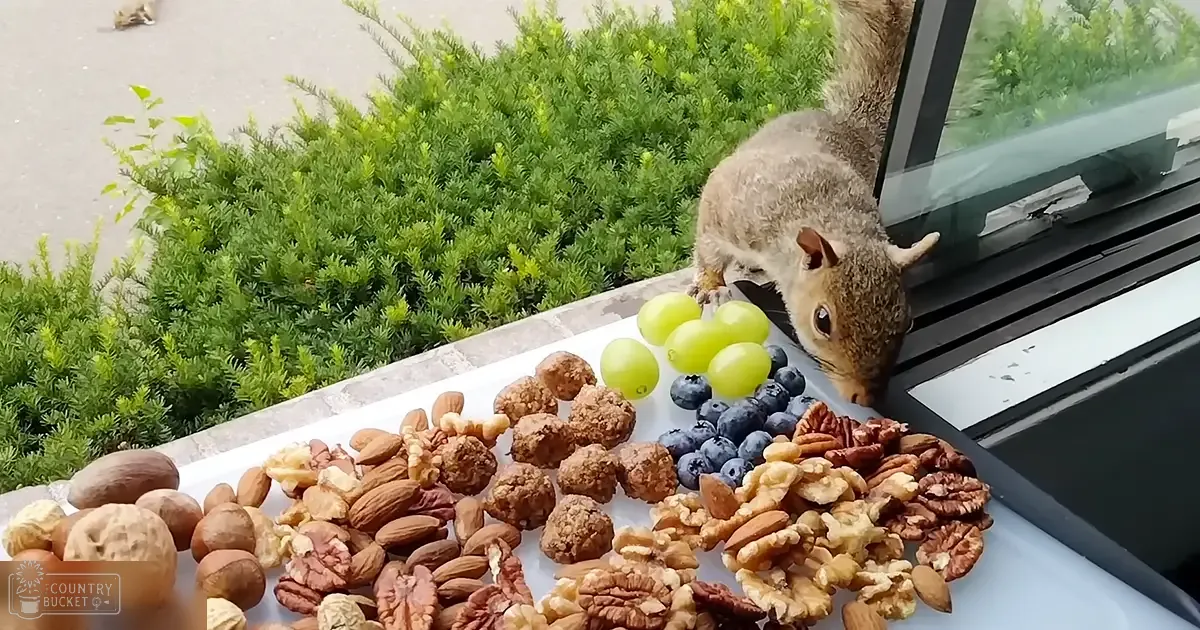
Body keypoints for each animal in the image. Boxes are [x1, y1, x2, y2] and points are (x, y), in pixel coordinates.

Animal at [686, 0, 938, 406]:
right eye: (822, 320)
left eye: (908, 320)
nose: (865, 400)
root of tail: (849, 125)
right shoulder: (728, 210)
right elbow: (708, 247)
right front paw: (710, 285)